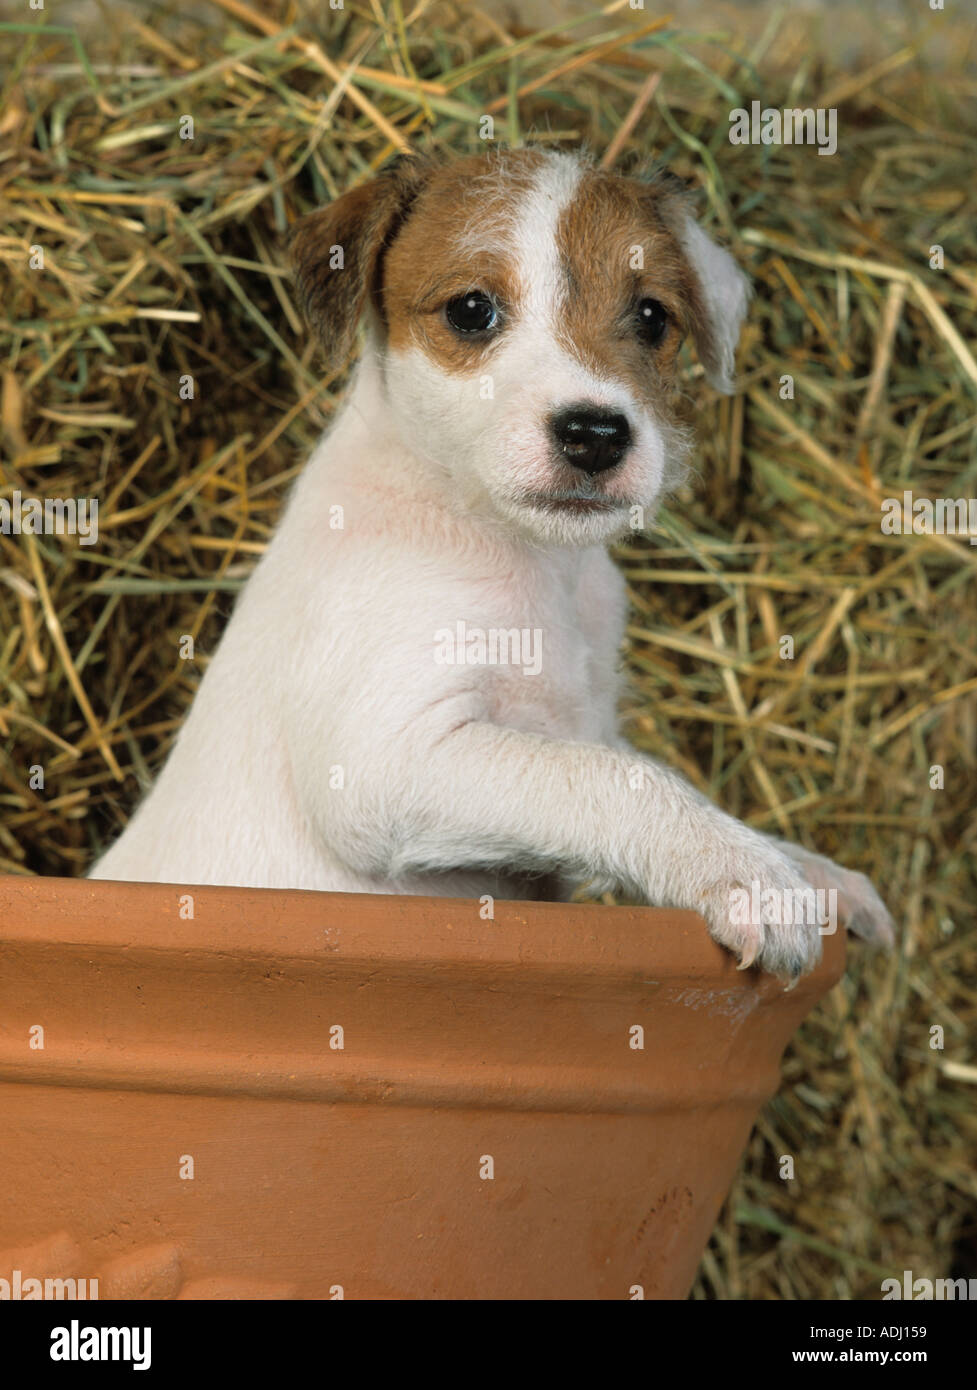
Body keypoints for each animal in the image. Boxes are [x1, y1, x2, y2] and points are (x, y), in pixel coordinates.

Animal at [91, 149, 895, 978]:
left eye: (651, 317)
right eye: (471, 311)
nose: (595, 435)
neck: (516, 551)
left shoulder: (577, 721)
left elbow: (644, 774)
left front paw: (803, 866)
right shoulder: (383, 758)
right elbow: (618, 780)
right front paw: (748, 874)